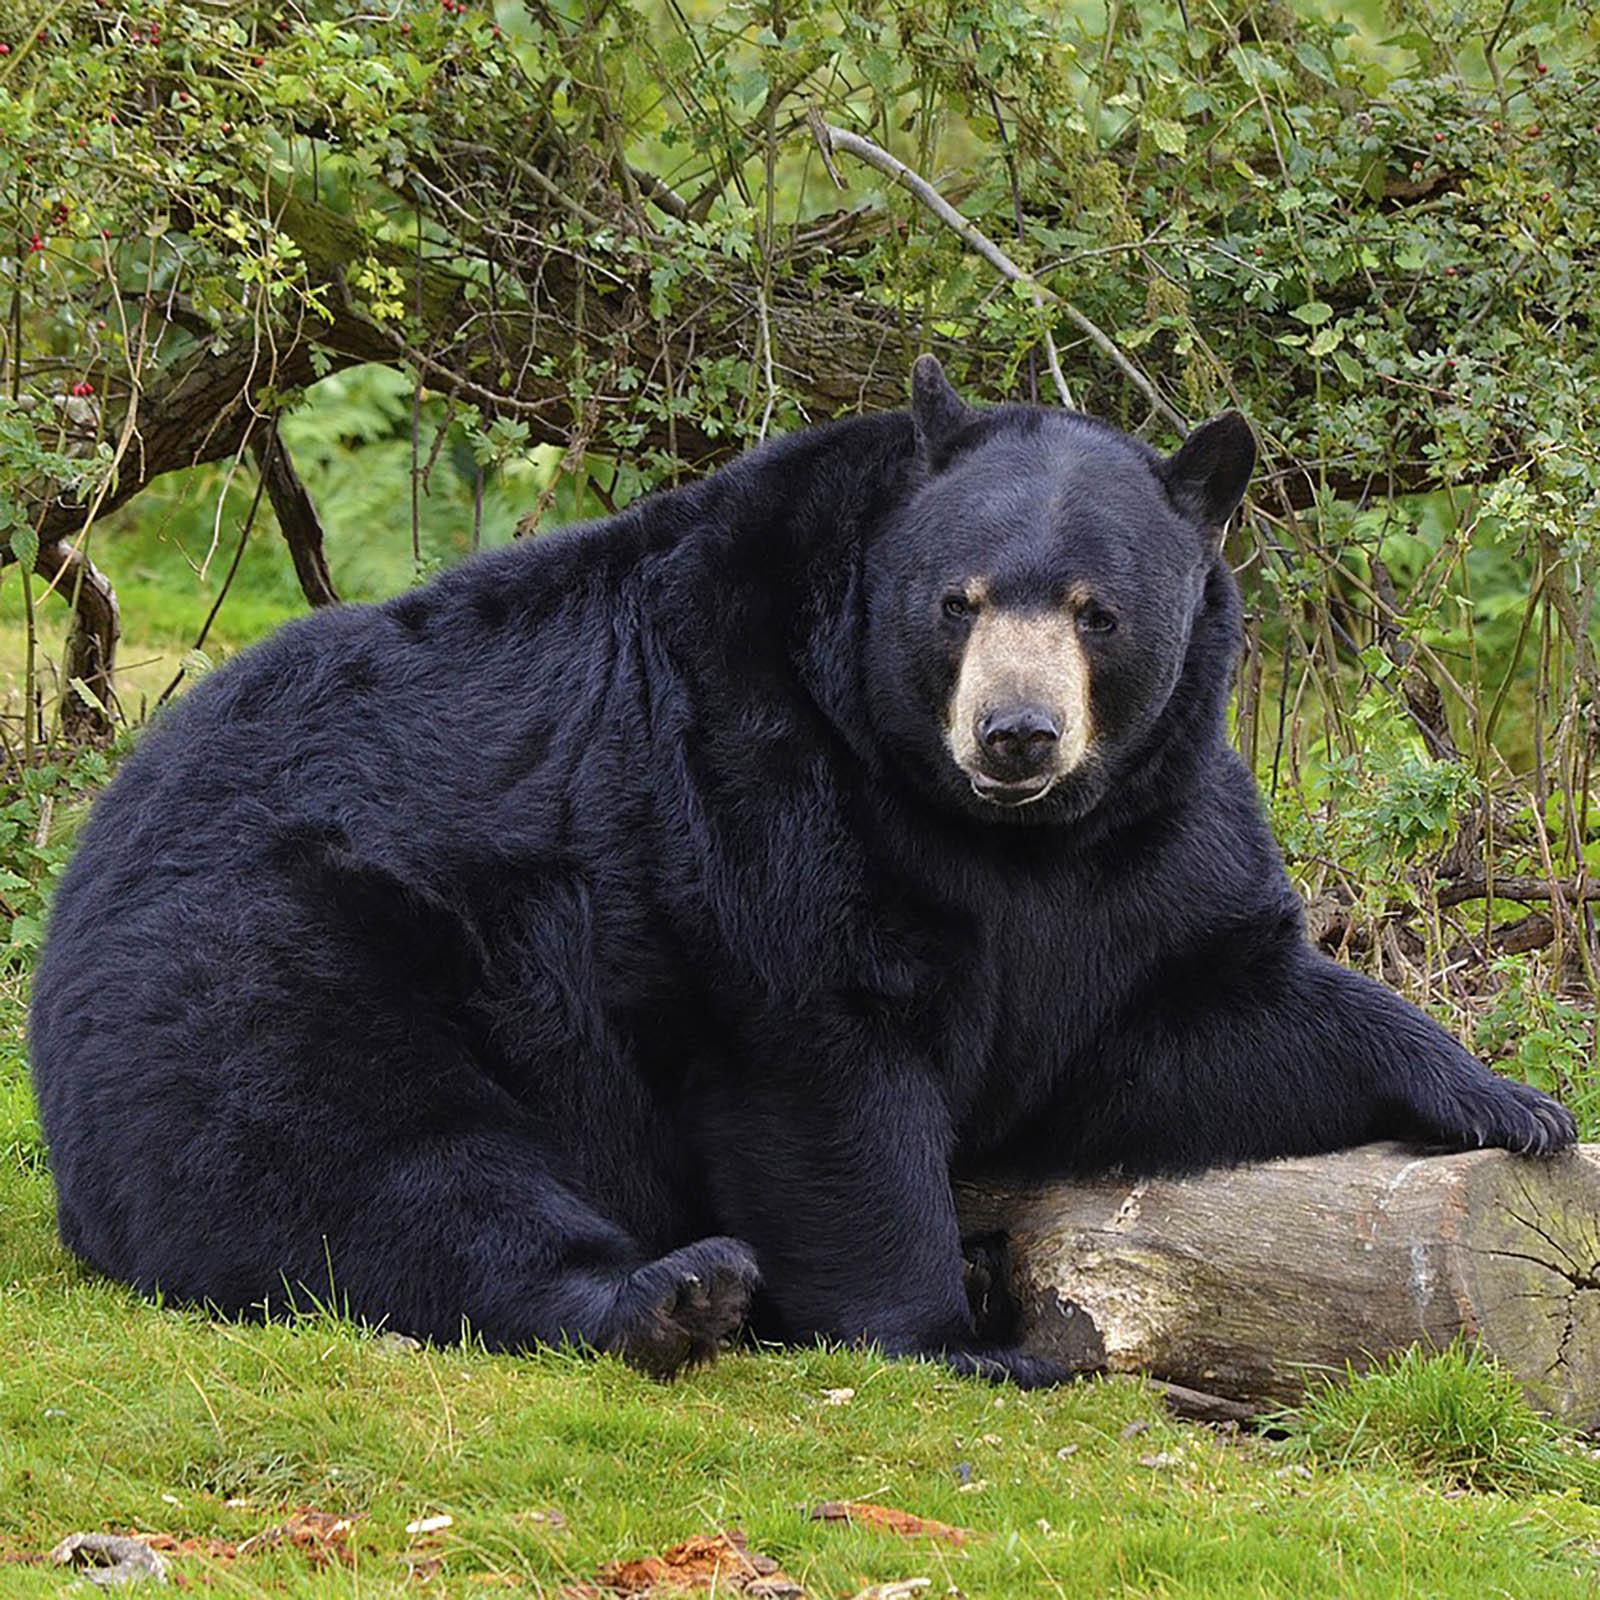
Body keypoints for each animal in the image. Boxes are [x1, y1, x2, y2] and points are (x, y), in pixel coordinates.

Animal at [34, 356, 1574, 1382]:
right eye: (956, 601)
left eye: (1098, 611)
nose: (1016, 733)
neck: (986, 831)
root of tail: (91, 860)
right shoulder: (750, 776)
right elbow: (821, 1066)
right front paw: (955, 1335)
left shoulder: (1133, 846)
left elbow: (1173, 1018)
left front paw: (1507, 1100)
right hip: (281, 946)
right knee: (361, 1151)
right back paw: (672, 1294)